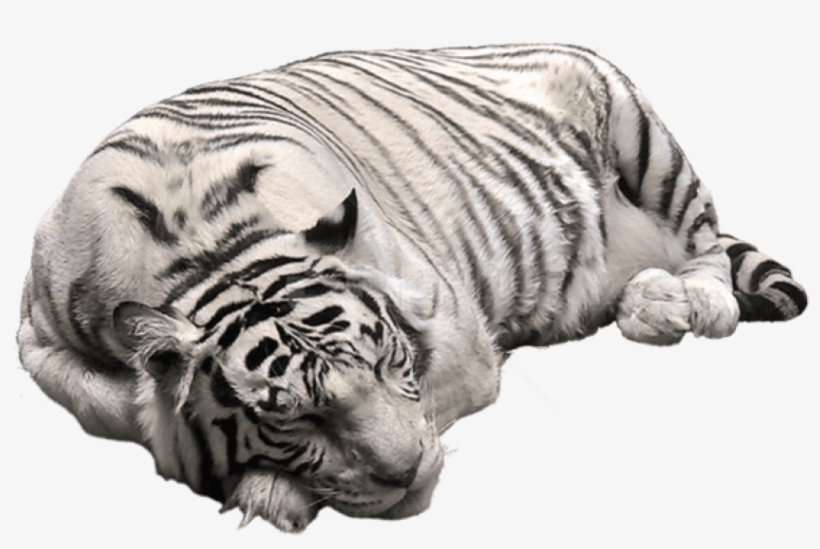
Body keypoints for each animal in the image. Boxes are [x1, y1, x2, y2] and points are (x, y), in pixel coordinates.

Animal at [16, 44, 807, 532]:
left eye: (386, 361)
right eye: (293, 418)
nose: (413, 470)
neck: (209, 251)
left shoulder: (459, 334)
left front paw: (268, 493)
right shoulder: (36, 340)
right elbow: (106, 400)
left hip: (643, 135)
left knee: (704, 240)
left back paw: (691, 304)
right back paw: (648, 303)